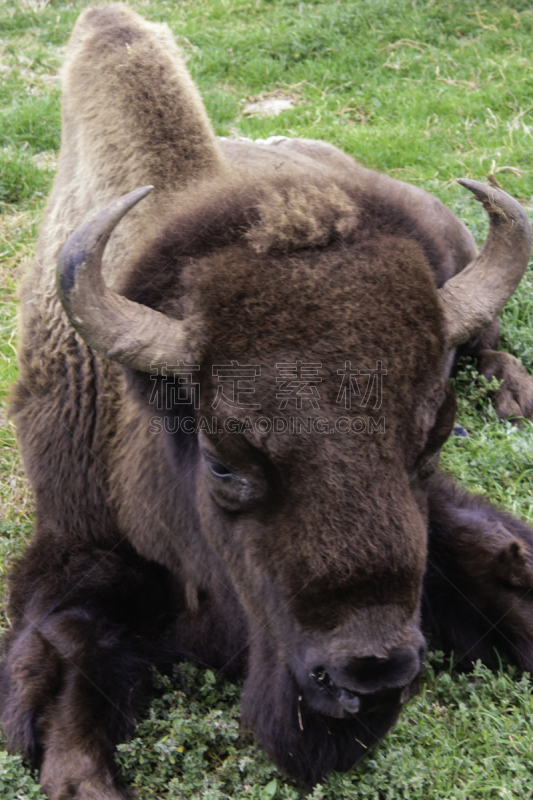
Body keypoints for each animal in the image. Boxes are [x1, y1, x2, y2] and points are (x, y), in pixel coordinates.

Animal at [3, 3, 532, 796]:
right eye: (223, 462)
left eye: (429, 441)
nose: (369, 673)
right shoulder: (72, 548)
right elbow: (66, 658)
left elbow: (499, 560)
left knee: (487, 342)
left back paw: (513, 397)